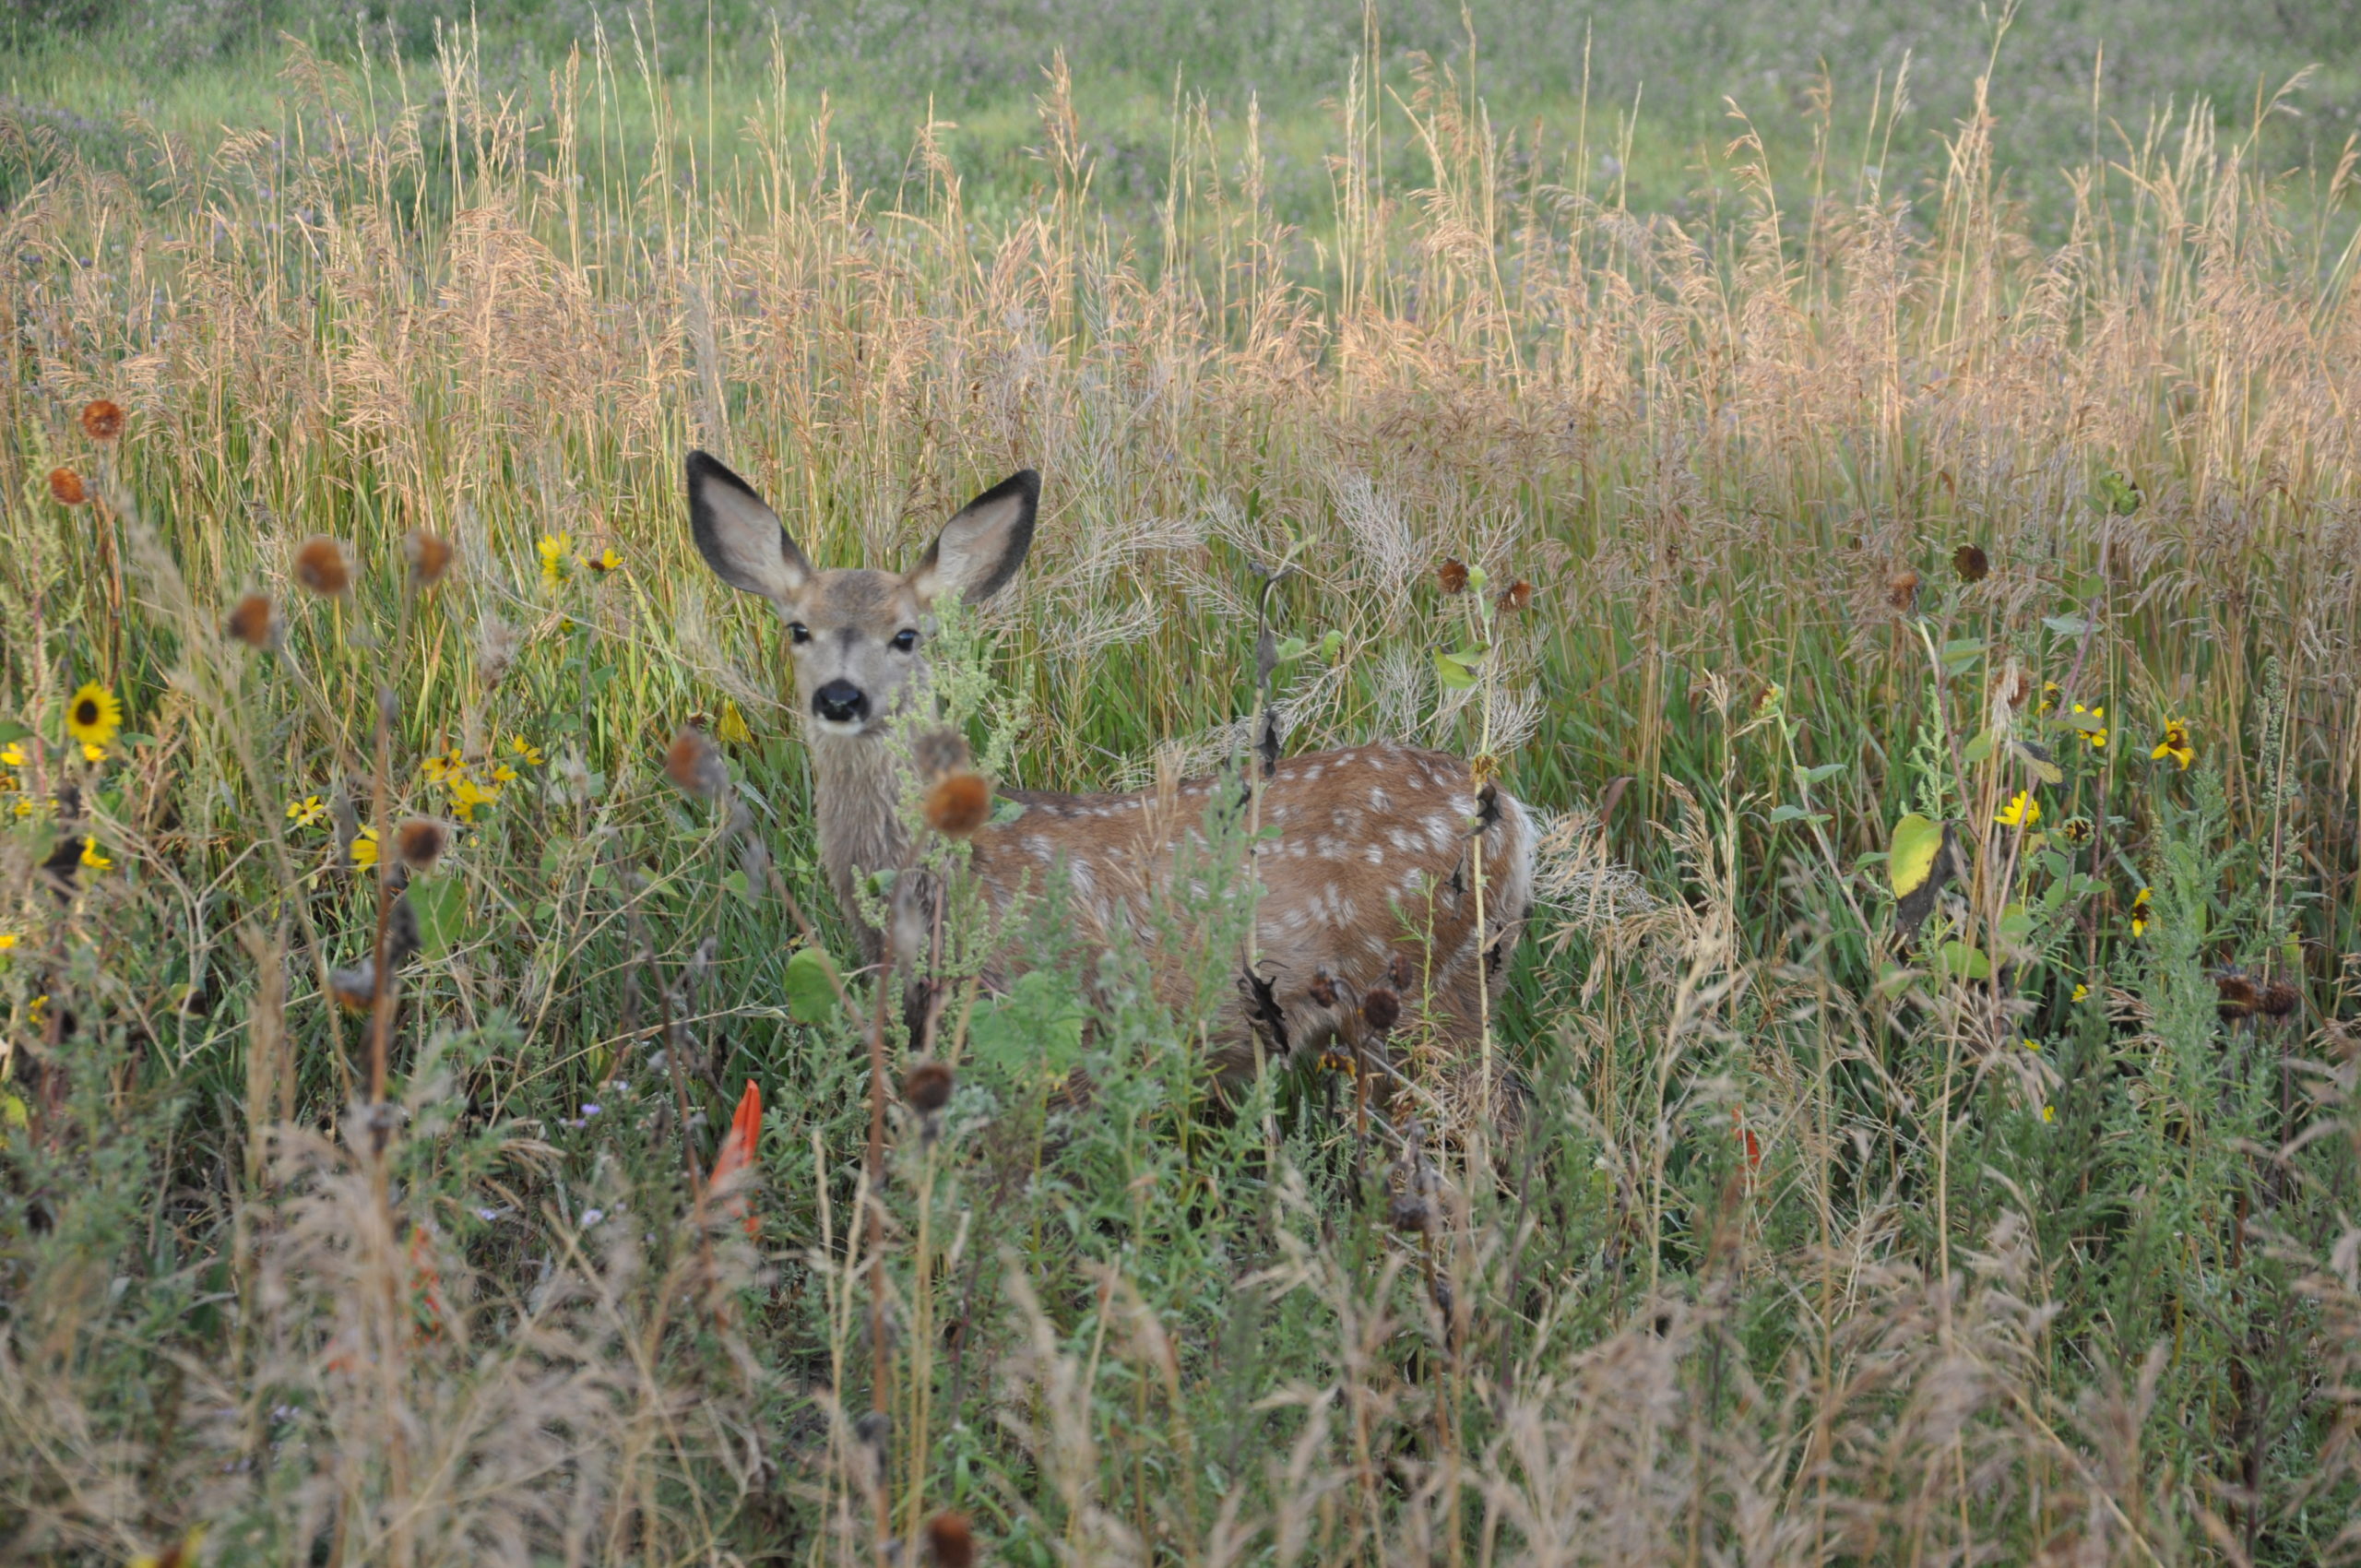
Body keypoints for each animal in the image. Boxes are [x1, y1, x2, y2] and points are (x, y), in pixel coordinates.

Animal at [689, 456, 1529, 1076]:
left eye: (906, 635)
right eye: (798, 628)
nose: (840, 697)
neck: (940, 878)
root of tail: (1514, 819)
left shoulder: (1043, 1006)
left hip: (1431, 979)